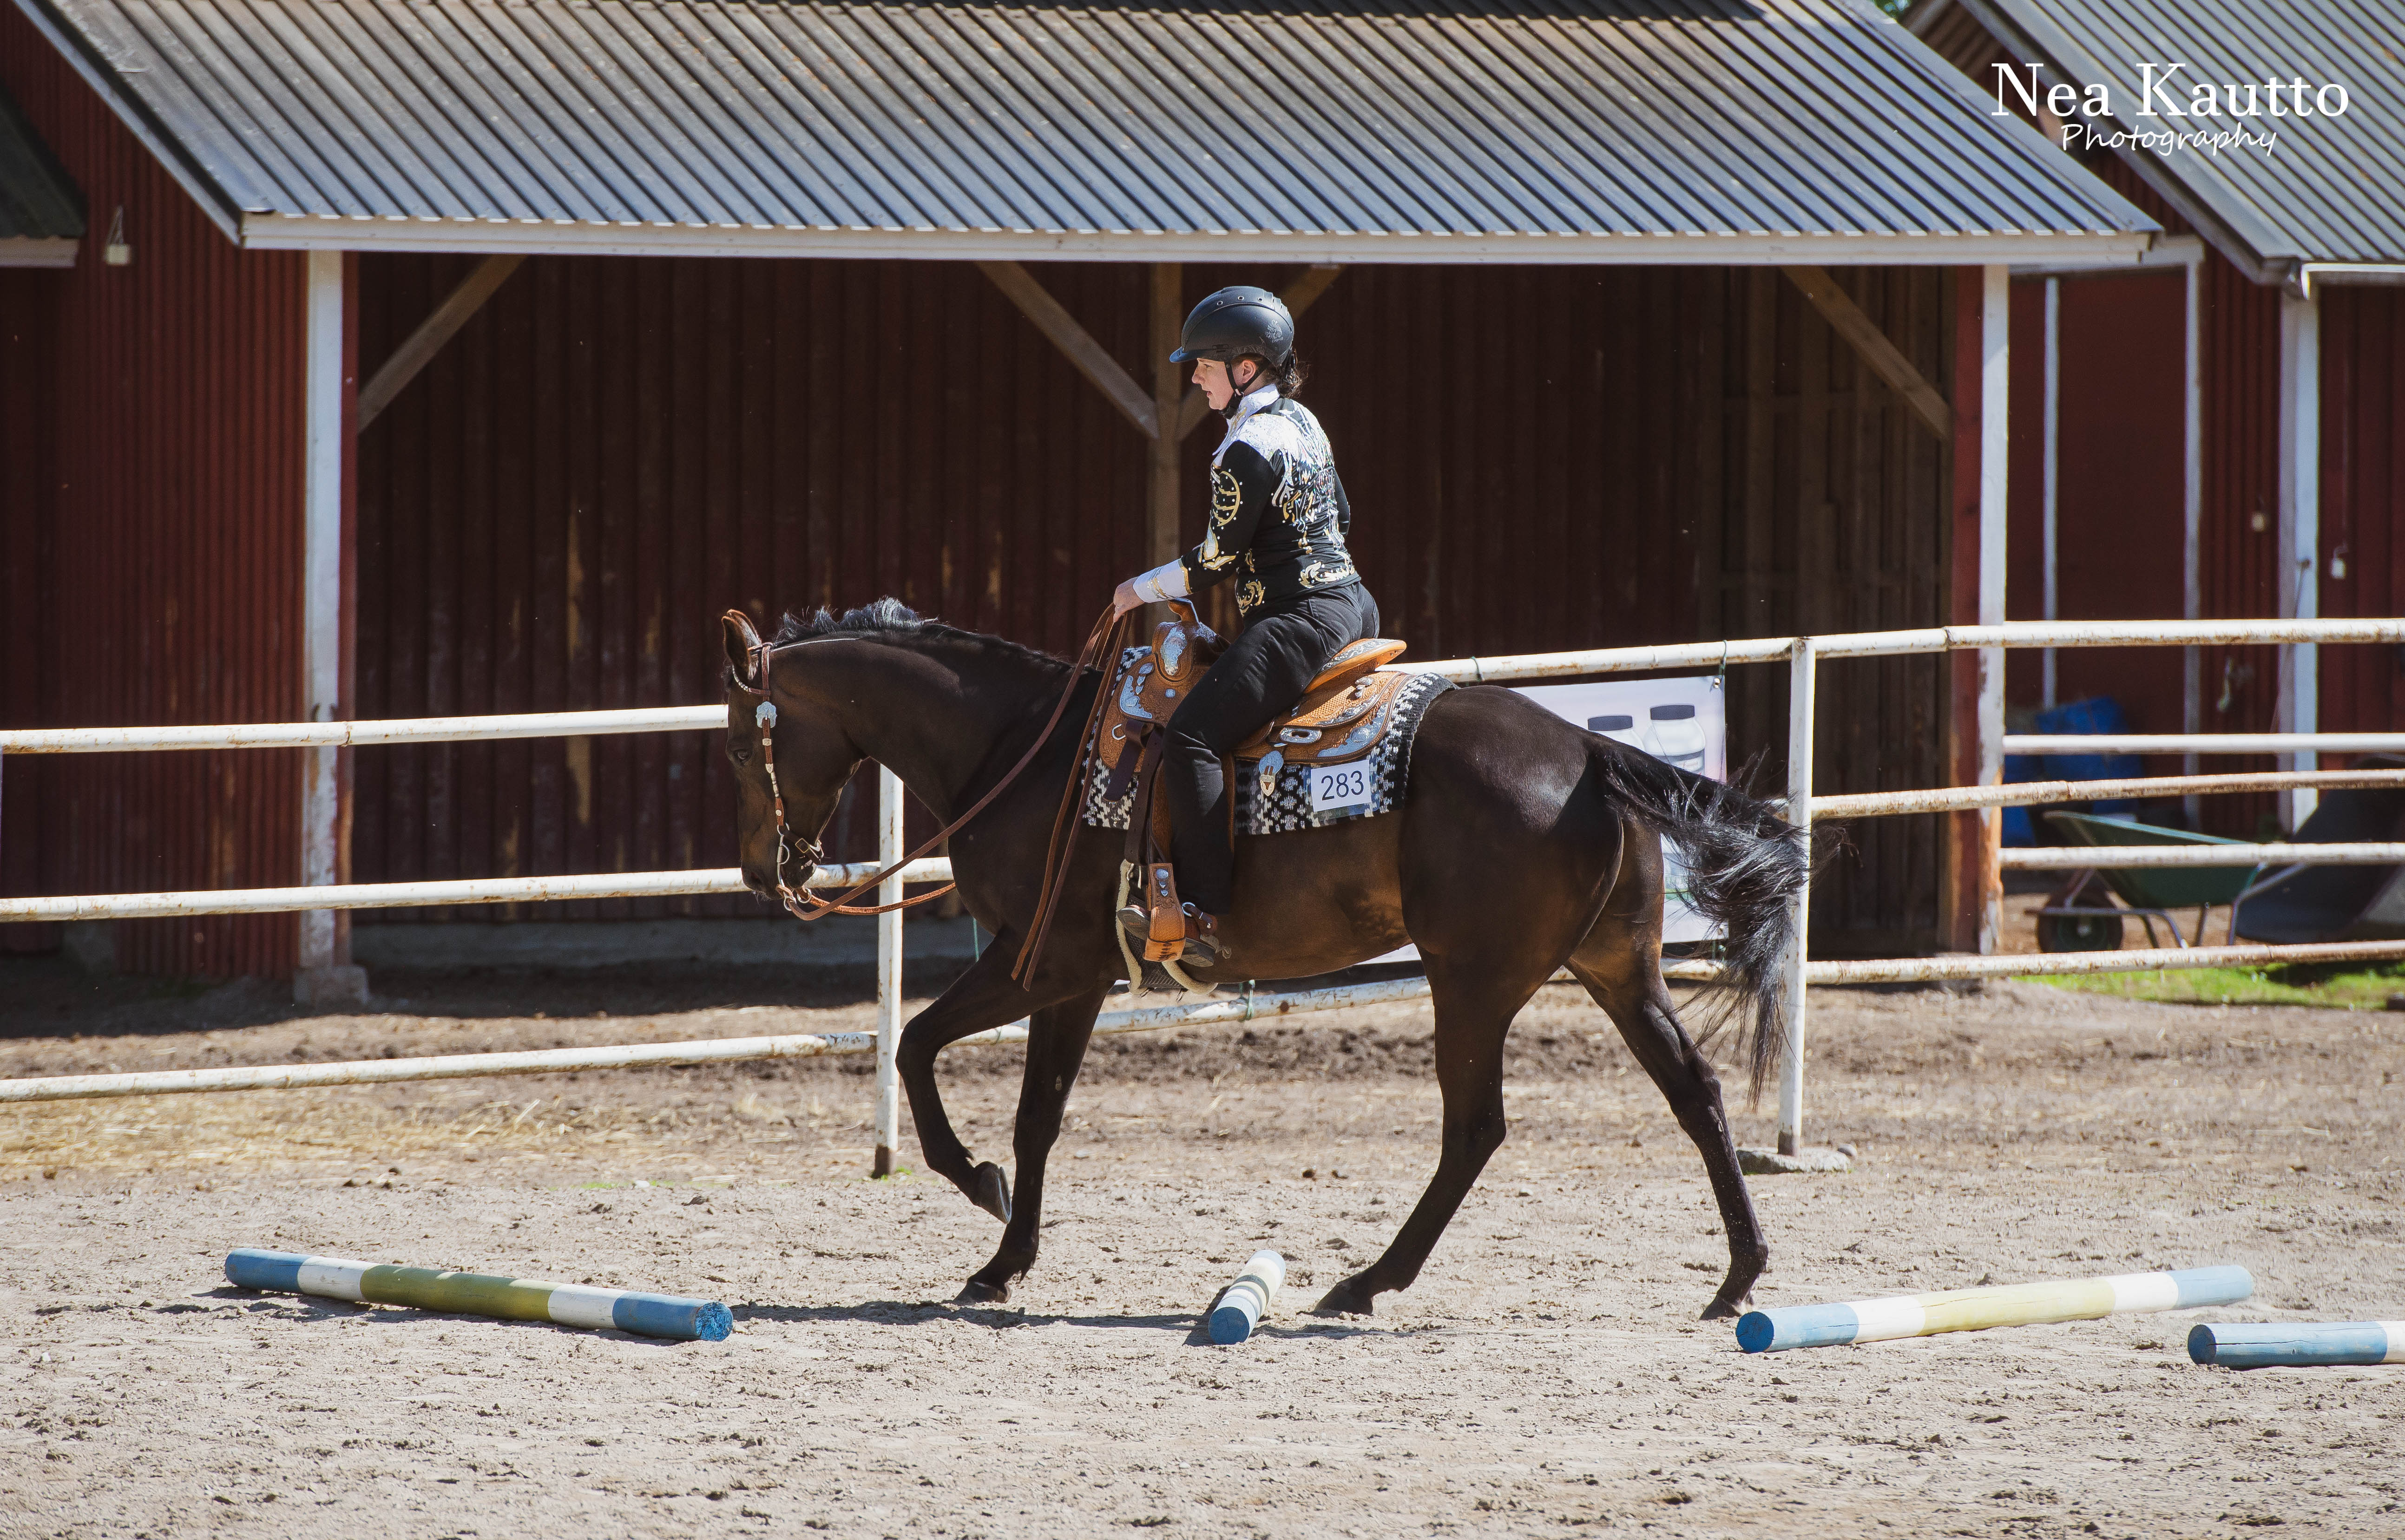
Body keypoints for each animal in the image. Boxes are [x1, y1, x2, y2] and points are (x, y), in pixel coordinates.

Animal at [712, 606, 1808, 1318]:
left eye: (734, 744)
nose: (762, 869)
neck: (1022, 749)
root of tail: (1588, 752)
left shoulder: (1037, 964)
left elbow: (915, 1047)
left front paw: (976, 1187)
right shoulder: (1079, 981)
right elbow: (1037, 1119)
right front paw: (1003, 1260)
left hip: (1473, 980)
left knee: (1475, 1129)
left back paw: (1368, 1282)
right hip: (1619, 971)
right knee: (1695, 1092)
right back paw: (1738, 1277)